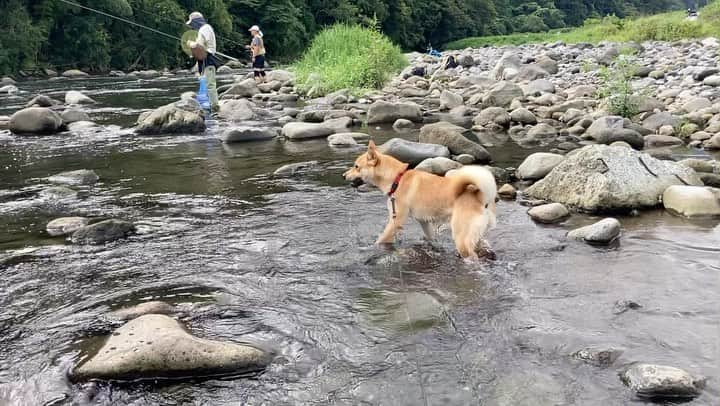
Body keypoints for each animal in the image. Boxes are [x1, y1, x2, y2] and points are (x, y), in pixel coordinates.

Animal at [346, 140, 498, 260]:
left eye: (356, 166)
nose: (343, 175)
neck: (397, 179)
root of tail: (480, 195)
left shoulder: (396, 220)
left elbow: (381, 240)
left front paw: (369, 248)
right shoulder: (424, 221)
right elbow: (430, 237)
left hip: (461, 237)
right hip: (475, 234)